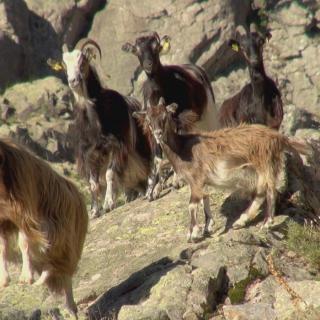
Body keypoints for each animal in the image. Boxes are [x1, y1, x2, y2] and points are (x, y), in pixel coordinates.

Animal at [0, 138, 87, 318]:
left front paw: (26, 277)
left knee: (63, 273)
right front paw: (3, 280)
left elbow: (23, 243)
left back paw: (71, 307)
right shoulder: (3, 220)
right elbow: (2, 248)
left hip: (63, 238)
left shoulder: (26, 214)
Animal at [49, 38, 154, 216]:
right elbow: (93, 183)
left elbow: (109, 174)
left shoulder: (116, 146)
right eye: (64, 64)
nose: (73, 81)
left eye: (82, 60)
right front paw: (94, 210)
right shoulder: (88, 154)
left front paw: (108, 203)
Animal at [133, 99, 310, 241]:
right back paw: (241, 221)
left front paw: (193, 233)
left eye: (165, 116)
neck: (183, 149)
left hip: (265, 164)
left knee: (270, 191)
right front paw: (208, 226)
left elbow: (192, 204)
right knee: (260, 193)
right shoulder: (200, 182)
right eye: (148, 120)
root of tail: (277, 137)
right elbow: (205, 197)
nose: (158, 134)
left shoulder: (196, 179)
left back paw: (267, 223)